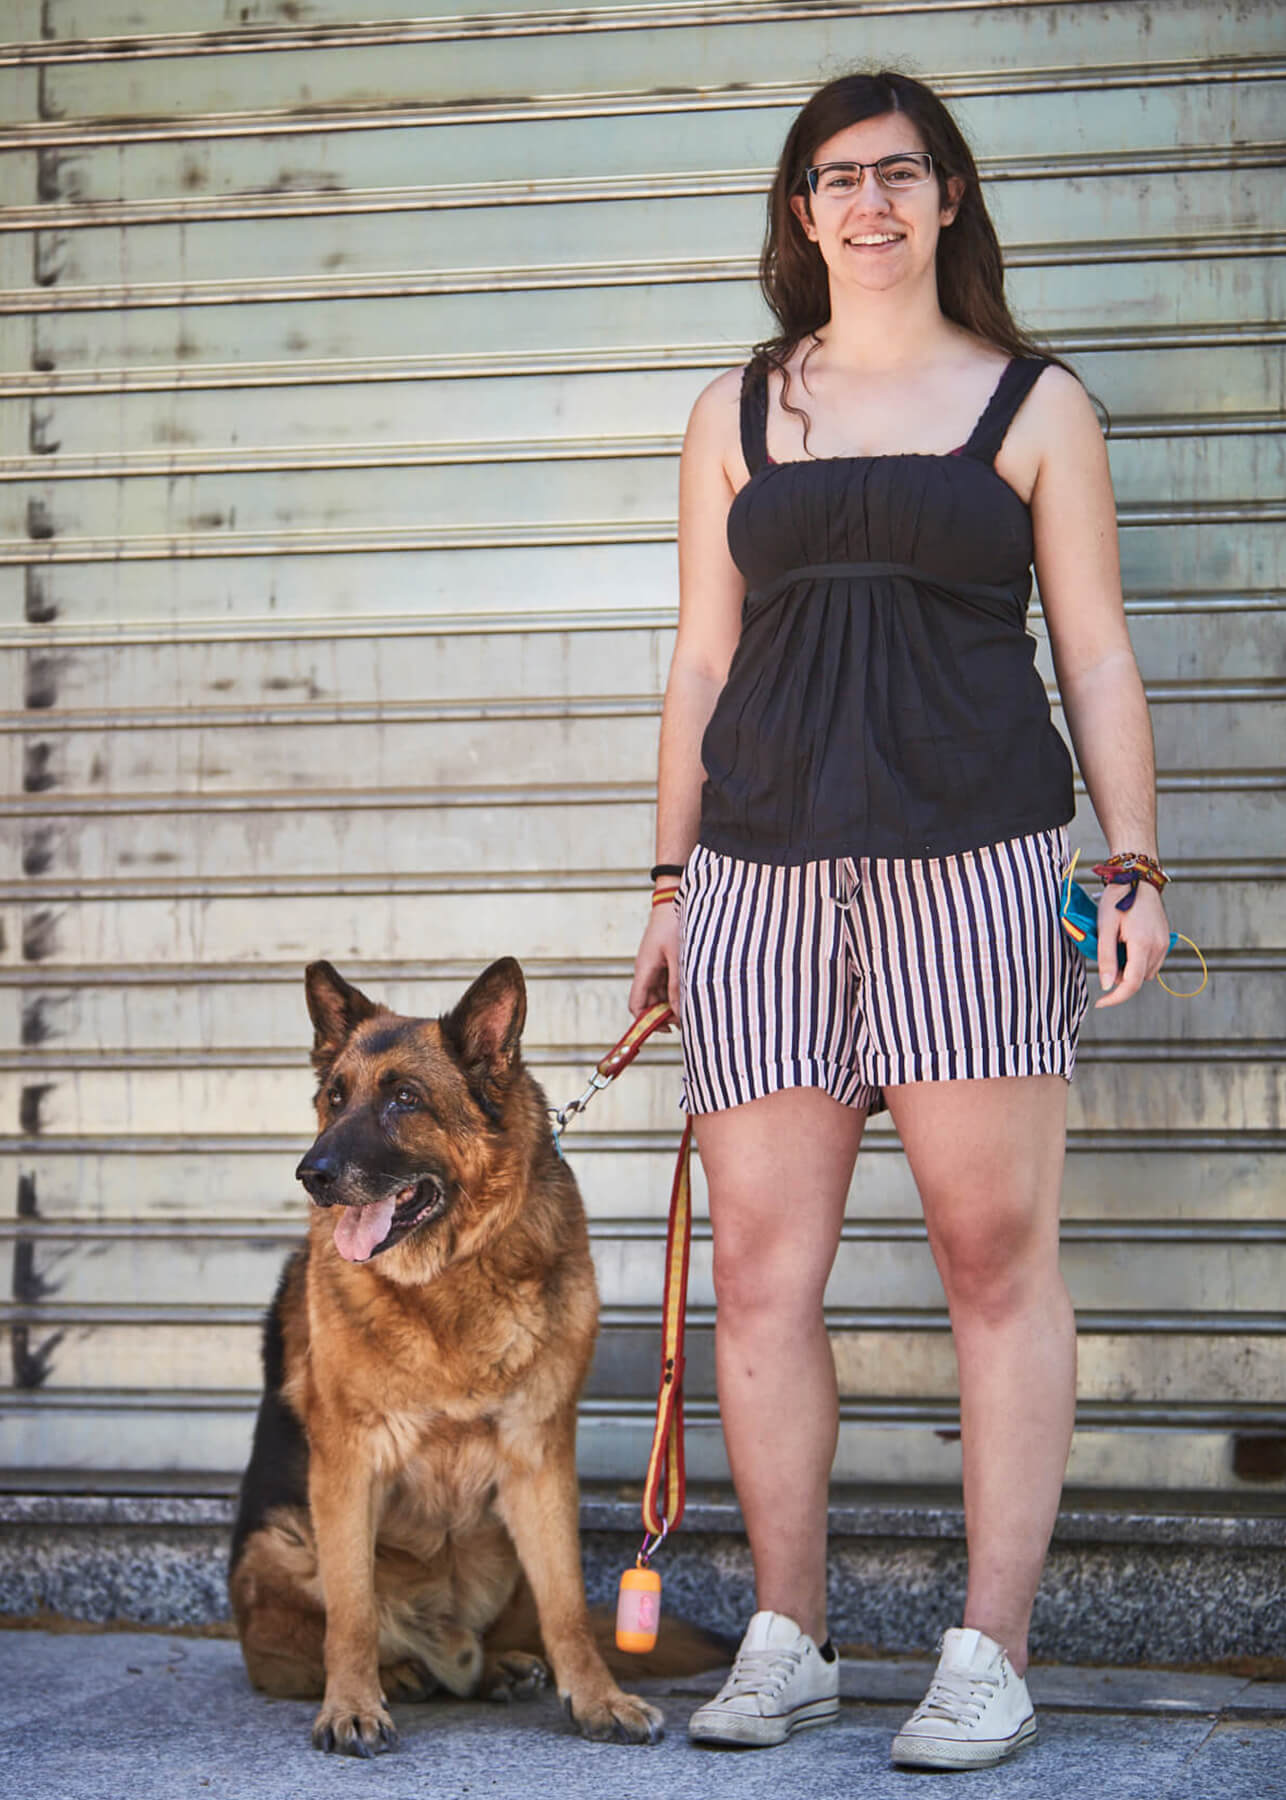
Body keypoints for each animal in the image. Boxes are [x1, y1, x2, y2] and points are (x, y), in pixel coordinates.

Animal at [227, 964, 662, 1749]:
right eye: (335, 1097)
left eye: (405, 1098)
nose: (311, 1173)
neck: (449, 1278)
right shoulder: (346, 1466)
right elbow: (351, 1611)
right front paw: (352, 1705)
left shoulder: (539, 1458)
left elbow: (567, 1606)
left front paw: (597, 1699)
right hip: (280, 1543)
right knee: (293, 1648)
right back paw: (398, 1675)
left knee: (476, 1649)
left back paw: (493, 1668)